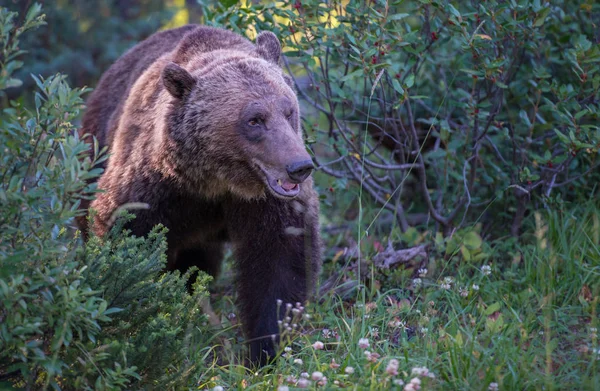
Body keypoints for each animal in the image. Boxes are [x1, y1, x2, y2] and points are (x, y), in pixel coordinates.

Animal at [78, 26, 324, 370]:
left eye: (289, 110)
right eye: (254, 119)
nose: (299, 166)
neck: (215, 181)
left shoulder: (266, 204)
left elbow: (279, 264)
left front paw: (267, 350)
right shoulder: (153, 187)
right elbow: (124, 235)